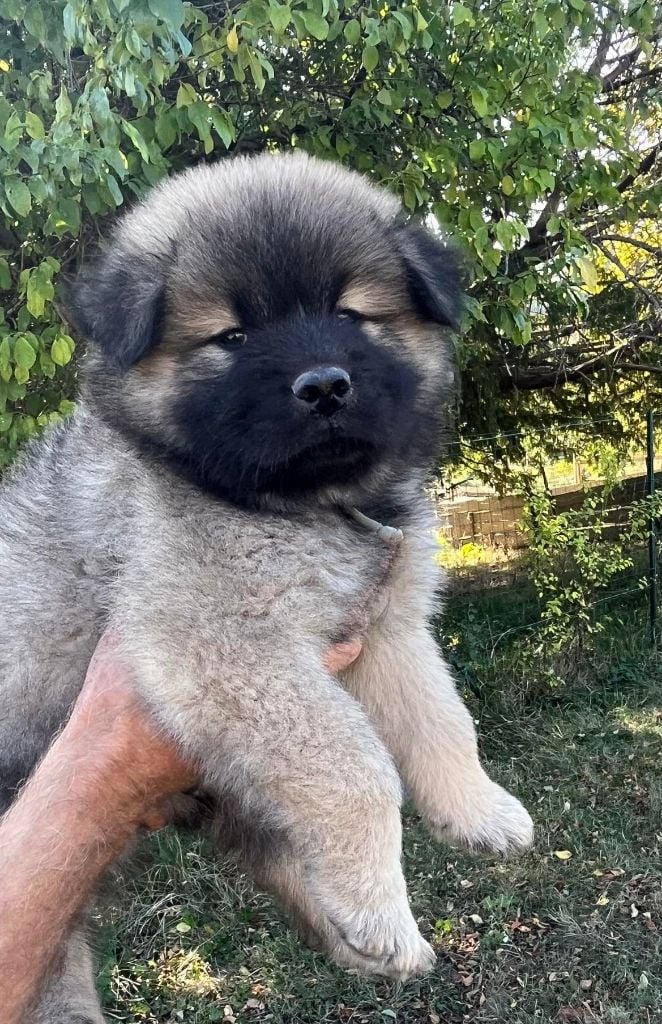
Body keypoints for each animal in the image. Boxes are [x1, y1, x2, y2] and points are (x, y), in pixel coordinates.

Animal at [0, 152, 533, 1022]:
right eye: (234, 337)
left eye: (350, 314)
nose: (324, 387)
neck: (301, 504)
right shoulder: (232, 646)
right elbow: (356, 766)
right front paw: (384, 904)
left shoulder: (385, 627)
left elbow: (442, 720)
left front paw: (478, 809)